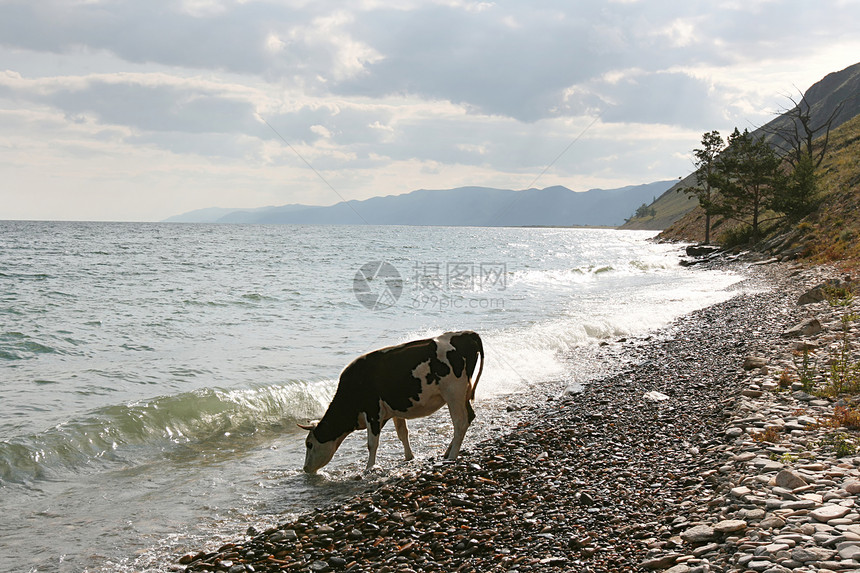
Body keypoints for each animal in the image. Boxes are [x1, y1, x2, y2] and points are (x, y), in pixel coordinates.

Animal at [300, 330, 484, 474]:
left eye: (309, 444)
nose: (305, 468)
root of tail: (467, 334)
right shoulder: (395, 410)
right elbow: (402, 433)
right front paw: (409, 457)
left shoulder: (373, 411)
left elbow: (372, 443)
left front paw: (369, 468)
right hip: (462, 393)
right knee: (469, 417)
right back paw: (447, 452)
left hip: (454, 392)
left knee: (460, 422)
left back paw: (451, 456)